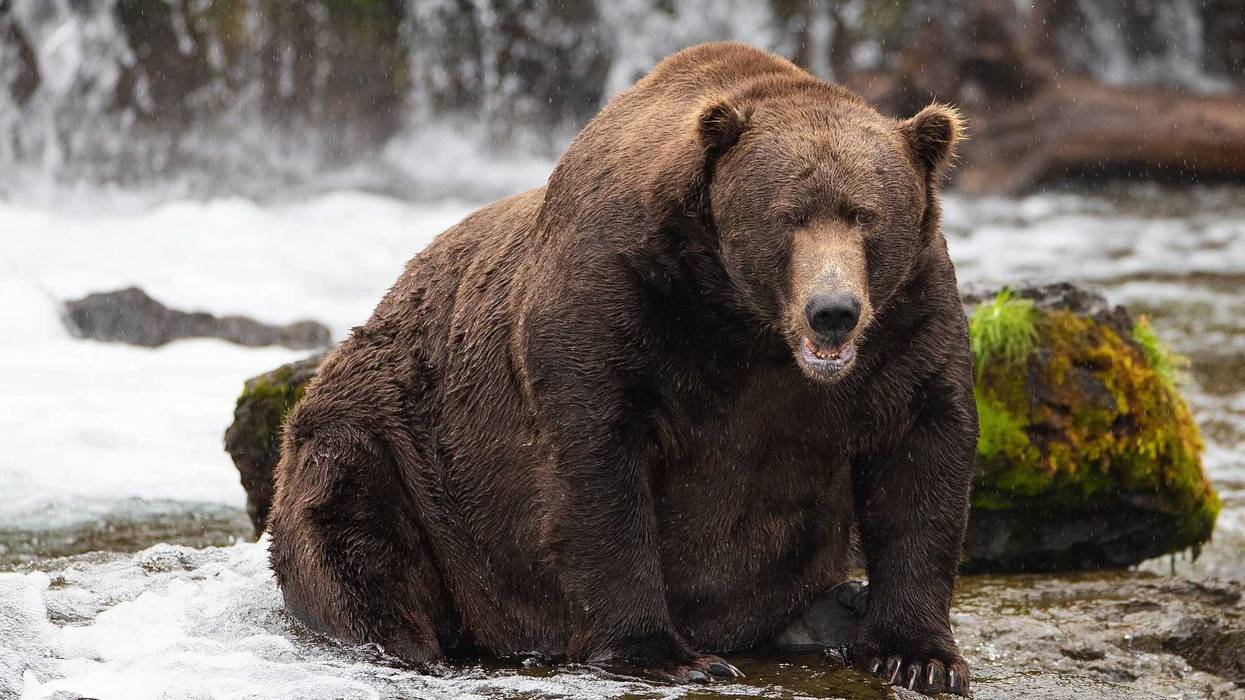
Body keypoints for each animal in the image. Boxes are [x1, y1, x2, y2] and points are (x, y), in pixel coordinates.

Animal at [266, 41, 976, 696]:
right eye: (789, 216)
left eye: (866, 217)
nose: (833, 311)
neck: (745, 321)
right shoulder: (619, 298)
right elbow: (597, 464)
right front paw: (663, 651)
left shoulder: (908, 317)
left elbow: (922, 454)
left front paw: (919, 656)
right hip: (400, 446)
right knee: (357, 528)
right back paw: (404, 644)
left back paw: (832, 607)